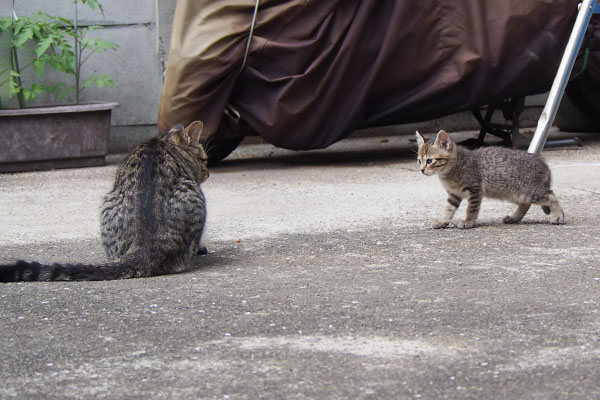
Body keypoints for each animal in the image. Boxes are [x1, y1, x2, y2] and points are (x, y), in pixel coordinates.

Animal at [414, 130, 564, 228]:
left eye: (430, 161)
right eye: (419, 161)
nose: (421, 170)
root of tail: (543, 163)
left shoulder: (475, 189)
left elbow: (471, 209)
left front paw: (468, 222)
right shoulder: (454, 194)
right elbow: (448, 209)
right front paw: (443, 221)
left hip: (526, 191)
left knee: (550, 194)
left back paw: (558, 216)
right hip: (514, 193)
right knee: (526, 204)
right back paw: (514, 218)